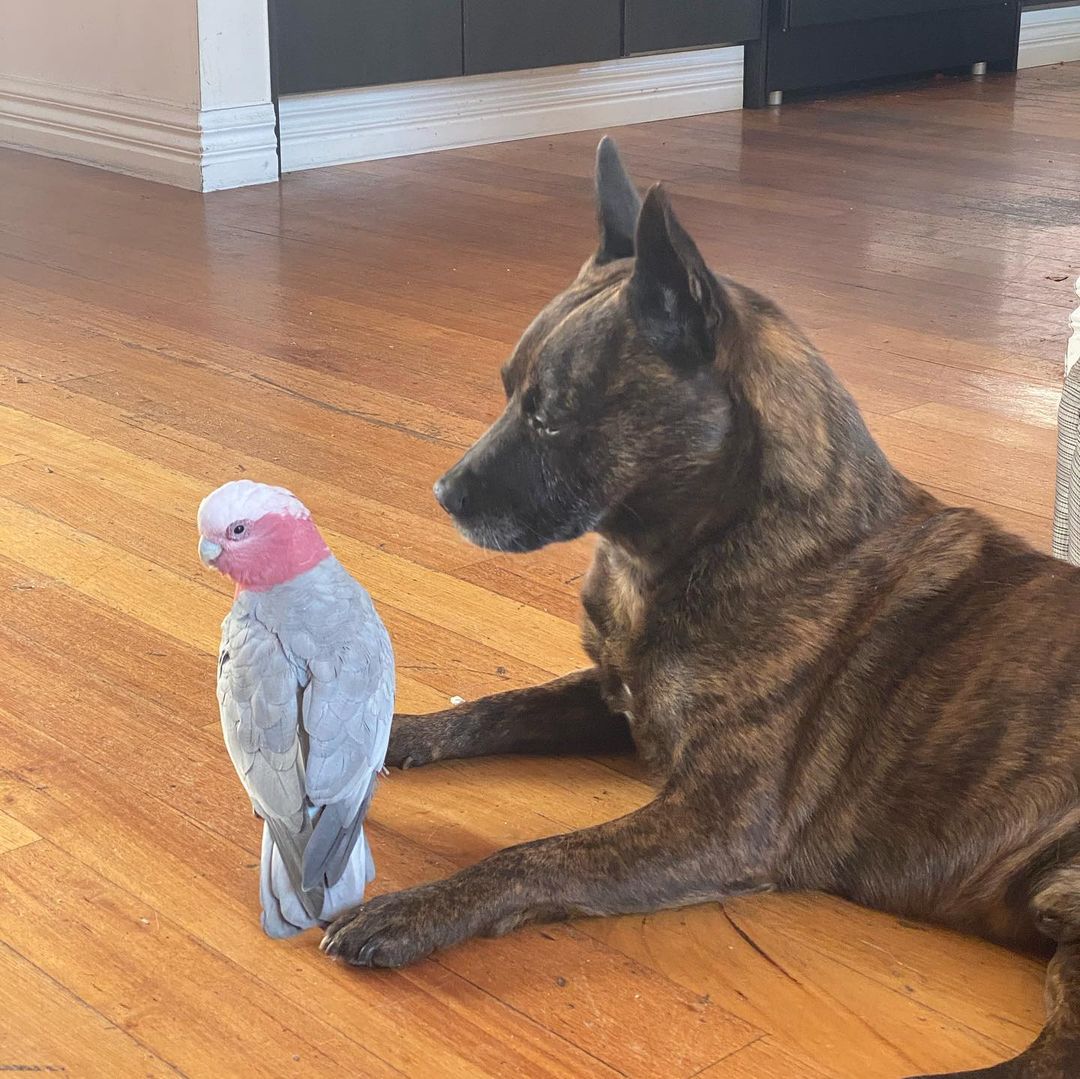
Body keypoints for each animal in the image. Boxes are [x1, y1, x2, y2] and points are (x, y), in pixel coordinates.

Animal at [321, 137, 1080, 1079]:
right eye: (505, 391)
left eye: (550, 416)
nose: (443, 495)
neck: (708, 542)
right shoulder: (616, 697)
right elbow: (494, 706)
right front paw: (391, 732)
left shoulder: (717, 822)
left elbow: (535, 855)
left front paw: (412, 908)